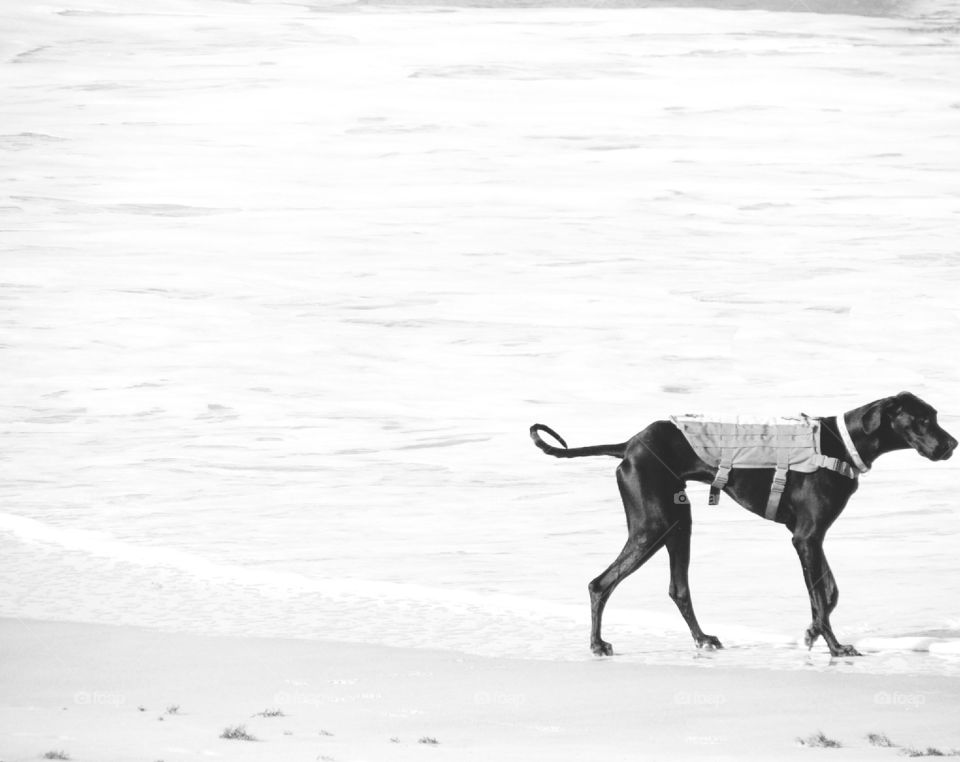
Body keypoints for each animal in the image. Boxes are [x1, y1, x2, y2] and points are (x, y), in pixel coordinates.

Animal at [528, 392, 956, 652]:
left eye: (934, 416)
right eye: (923, 420)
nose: (952, 444)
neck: (842, 443)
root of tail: (630, 444)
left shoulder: (810, 539)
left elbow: (829, 593)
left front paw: (812, 633)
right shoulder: (807, 537)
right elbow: (820, 597)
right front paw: (834, 646)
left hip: (678, 522)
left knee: (677, 589)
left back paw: (702, 638)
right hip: (654, 525)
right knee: (601, 583)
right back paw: (597, 644)